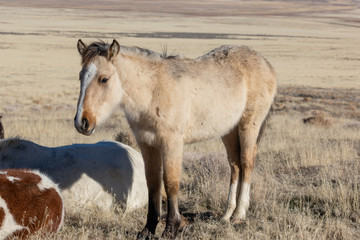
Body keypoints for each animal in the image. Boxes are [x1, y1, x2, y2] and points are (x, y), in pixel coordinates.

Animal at [73, 40, 276, 239]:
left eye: (104, 79)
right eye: (80, 76)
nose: (82, 122)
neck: (153, 89)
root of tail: (265, 62)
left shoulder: (172, 143)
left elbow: (170, 182)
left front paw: (171, 228)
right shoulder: (147, 144)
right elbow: (153, 182)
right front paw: (148, 229)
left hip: (248, 126)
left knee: (246, 163)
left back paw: (239, 214)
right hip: (229, 131)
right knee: (235, 165)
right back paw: (227, 215)